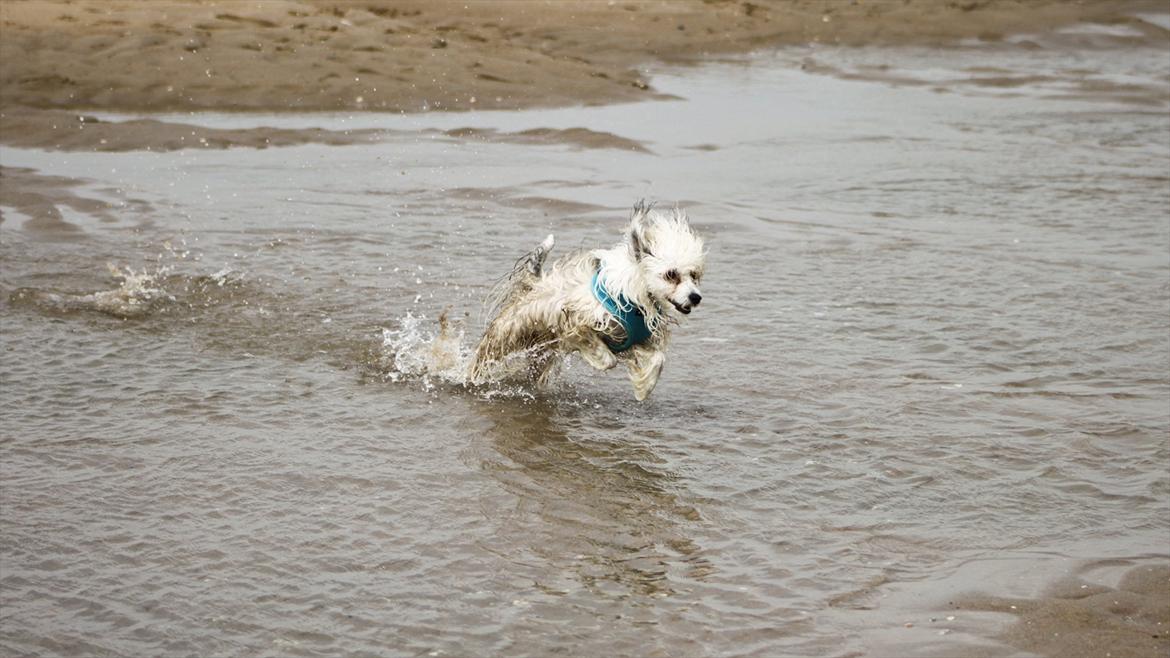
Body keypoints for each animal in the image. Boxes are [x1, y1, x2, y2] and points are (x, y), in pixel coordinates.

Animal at [470, 199, 706, 400]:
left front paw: (643, 387)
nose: (695, 297)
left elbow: (658, 359)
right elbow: (607, 358)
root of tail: (533, 283)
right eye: (671, 274)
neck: (635, 295)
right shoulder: (576, 321)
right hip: (505, 336)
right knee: (482, 360)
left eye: (694, 275)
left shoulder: (640, 339)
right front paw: (600, 362)